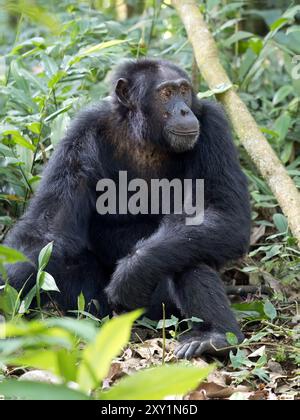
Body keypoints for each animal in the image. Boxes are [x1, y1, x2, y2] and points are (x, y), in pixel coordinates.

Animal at [1, 59, 251, 360]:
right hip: (100, 309)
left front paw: (134, 270)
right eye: (166, 93)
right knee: (64, 258)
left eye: (184, 90)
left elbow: (223, 213)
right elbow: (47, 227)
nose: (184, 109)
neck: (144, 136)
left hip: (162, 311)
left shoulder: (214, 126)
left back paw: (216, 336)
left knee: (187, 252)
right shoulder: (81, 133)